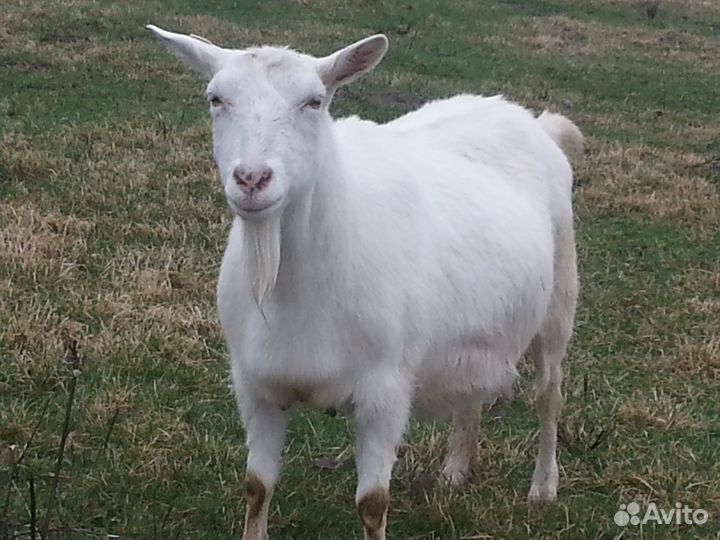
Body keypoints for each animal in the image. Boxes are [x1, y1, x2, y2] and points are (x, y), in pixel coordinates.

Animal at [147, 25, 582, 540]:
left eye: (314, 101)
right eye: (216, 98)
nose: (252, 178)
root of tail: (531, 121)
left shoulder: (385, 391)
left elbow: (372, 504)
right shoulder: (256, 385)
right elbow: (256, 487)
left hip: (559, 300)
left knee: (549, 394)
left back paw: (543, 487)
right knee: (472, 389)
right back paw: (456, 468)